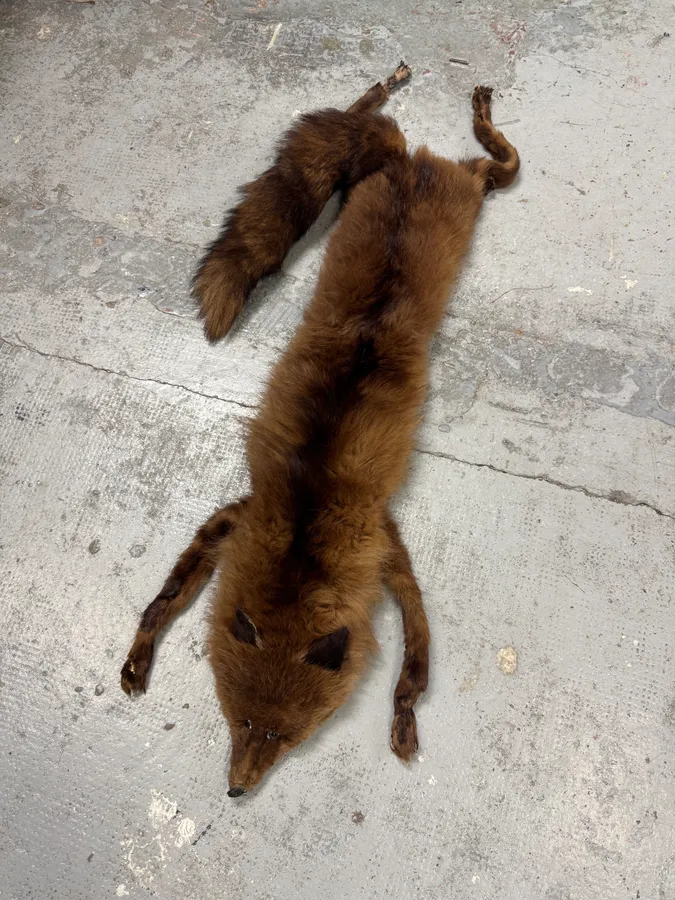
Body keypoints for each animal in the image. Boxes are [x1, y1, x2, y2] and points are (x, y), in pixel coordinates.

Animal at [120, 63, 520, 797]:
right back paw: (390, 88)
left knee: (497, 157)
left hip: (481, 186)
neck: (305, 528)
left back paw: (470, 112)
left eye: (284, 737)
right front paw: (138, 658)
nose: (235, 790)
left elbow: (415, 667)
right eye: (238, 720)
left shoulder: (387, 552)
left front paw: (402, 721)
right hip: (402, 181)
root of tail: (408, 164)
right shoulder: (238, 517)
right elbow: (163, 598)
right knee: (356, 117)